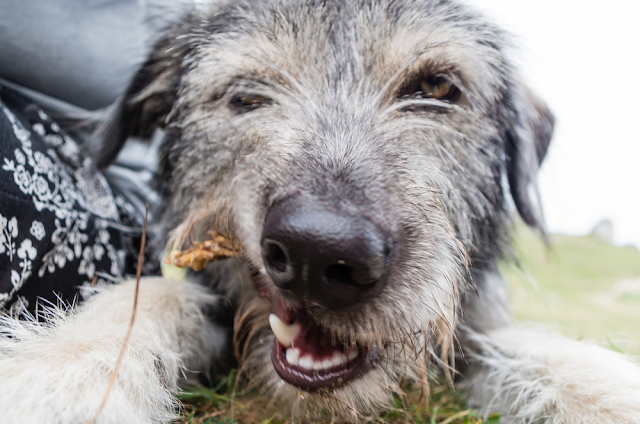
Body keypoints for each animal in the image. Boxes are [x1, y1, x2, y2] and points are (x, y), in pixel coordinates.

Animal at [1, 0, 640, 422]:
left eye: (438, 88)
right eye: (247, 95)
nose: (318, 251)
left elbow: (550, 356)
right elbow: (153, 295)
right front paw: (62, 378)